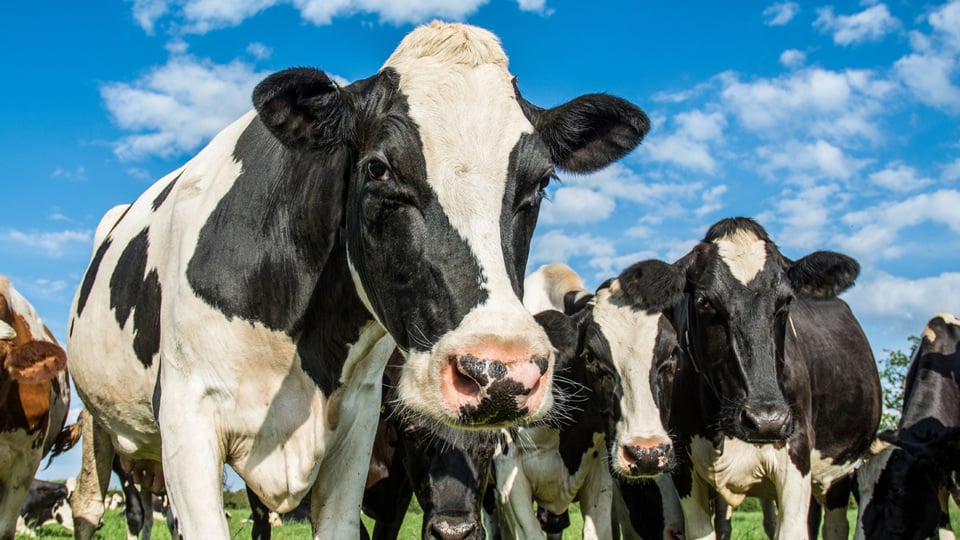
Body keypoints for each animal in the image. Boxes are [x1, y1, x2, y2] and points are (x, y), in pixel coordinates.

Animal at [63, 20, 648, 536]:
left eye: (542, 181)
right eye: (378, 168)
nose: (500, 373)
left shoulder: (358, 423)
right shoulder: (187, 414)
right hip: (97, 419)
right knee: (96, 506)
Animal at [664, 216, 880, 540]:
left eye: (787, 301)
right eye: (704, 301)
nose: (767, 420)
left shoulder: (797, 454)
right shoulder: (684, 468)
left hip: (837, 473)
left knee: (832, 525)